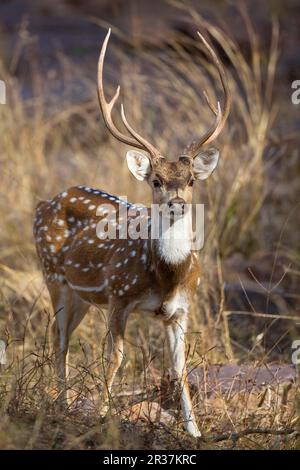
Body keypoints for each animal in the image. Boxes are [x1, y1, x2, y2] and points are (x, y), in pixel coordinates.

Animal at [33, 27, 230, 436]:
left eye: (190, 179)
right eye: (155, 180)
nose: (177, 202)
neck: (166, 277)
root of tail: (45, 202)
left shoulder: (181, 309)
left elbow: (181, 368)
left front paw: (194, 431)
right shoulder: (118, 297)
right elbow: (116, 357)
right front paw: (103, 415)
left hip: (81, 294)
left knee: (64, 336)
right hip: (53, 274)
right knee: (59, 340)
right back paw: (61, 405)